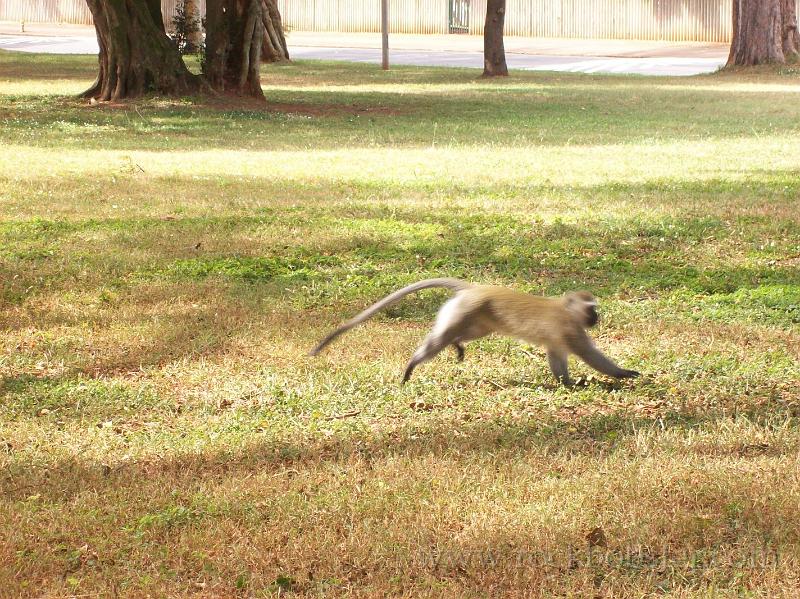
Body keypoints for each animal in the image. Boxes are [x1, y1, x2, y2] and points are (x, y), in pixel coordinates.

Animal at [310, 278, 640, 386]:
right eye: (591, 308)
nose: (596, 318)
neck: (568, 310)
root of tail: (475, 289)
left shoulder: (559, 339)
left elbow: (557, 359)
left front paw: (567, 383)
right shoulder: (572, 331)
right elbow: (591, 356)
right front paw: (623, 374)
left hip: (475, 317)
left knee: (463, 334)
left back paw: (457, 345)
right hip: (463, 311)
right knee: (438, 340)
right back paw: (412, 365)